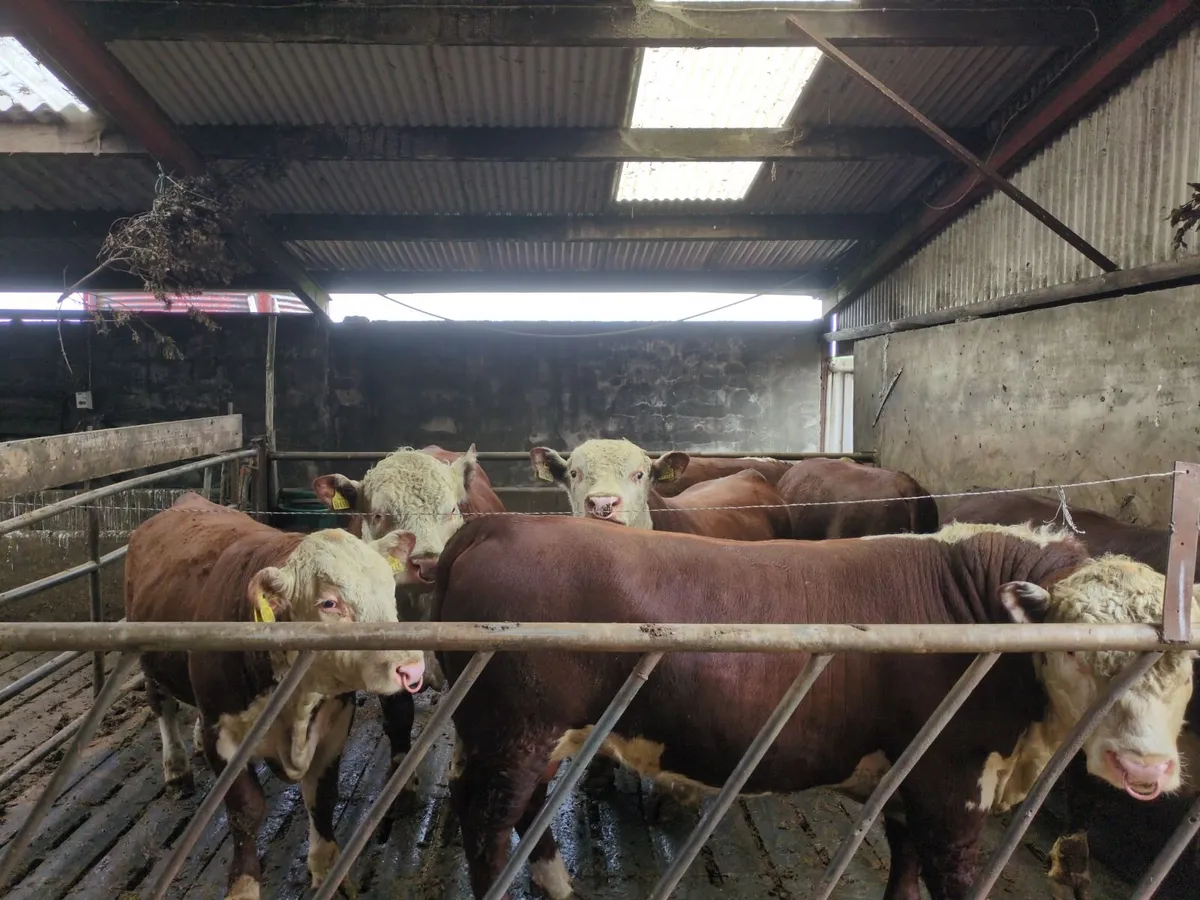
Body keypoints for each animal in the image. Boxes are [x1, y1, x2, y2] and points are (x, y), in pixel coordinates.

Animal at [125, 493, 426, 900]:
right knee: (163, 706)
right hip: (149, 657)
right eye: (329, 603)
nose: (410, 667)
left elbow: (322, 796)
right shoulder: (223, 732)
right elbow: (245, 810)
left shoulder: (333, 724)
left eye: (389, 588)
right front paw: (244, 884)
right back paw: (176, 769)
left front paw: (327, 871)